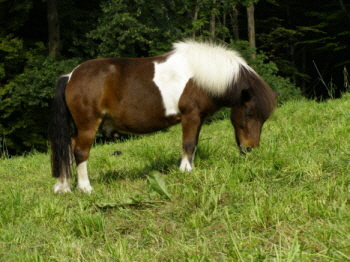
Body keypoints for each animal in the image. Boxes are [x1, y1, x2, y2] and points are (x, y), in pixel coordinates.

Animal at [49, 40, 278, 192]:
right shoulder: (190, 116)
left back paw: (63, 186)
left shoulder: (198, 118)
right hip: (88, 124)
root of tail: (70, 76)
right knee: (80, 152)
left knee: (68, 146)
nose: (250, 149)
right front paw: (185, 171)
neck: (200, 76)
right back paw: (85, 188)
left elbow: (193, 144)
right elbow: (188, 144)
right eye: (248, 112)